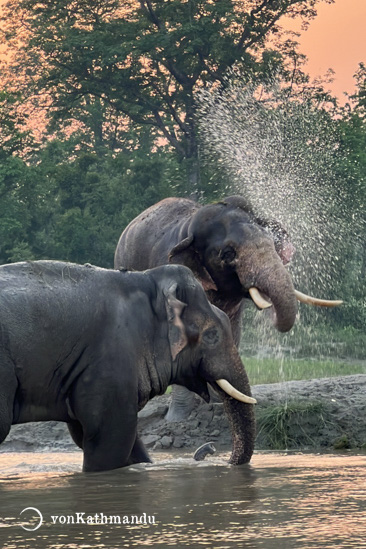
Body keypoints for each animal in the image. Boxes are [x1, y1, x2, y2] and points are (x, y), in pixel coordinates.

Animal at [0, 260, 254, 468]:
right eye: (212, 335)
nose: (210, 449)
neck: (146, 281)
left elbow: (100, 437)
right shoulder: (111, 361)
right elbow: (109, 437)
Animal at [115, 195, 344, 418]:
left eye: (272, 241)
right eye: (227, 254)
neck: (188, 232)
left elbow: (231, 333)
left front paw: (219, 404)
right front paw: (178, 418)